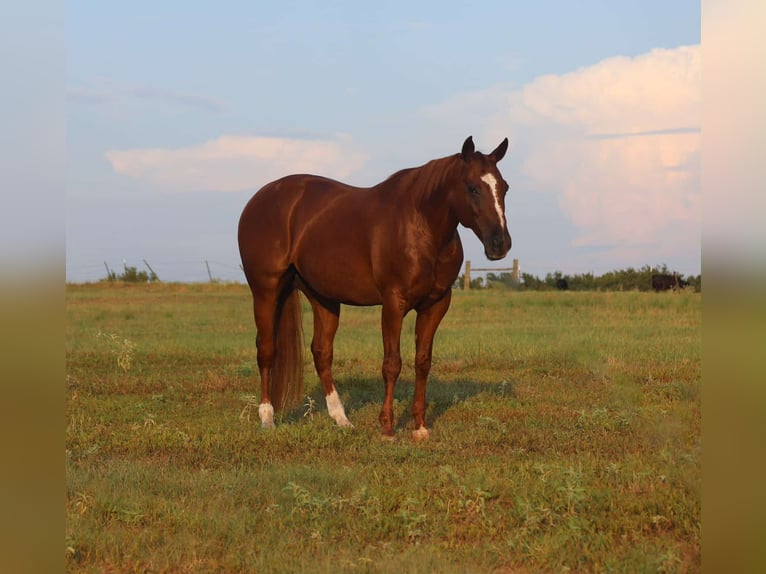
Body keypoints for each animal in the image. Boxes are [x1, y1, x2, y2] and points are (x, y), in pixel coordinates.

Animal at [238, 136, 512, 440]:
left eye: (504, 188)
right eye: (473, 187)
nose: (500, 244)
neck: (421, 226)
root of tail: (261, 198)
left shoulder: (436, 304)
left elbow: (422, 362)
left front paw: (420, 427)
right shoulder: (393, 303)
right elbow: (392, 364)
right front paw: (388, 428)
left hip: (323, 298)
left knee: (322, 353)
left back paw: (341, 419)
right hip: (265, 290)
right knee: (266, 350)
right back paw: (267, 418)